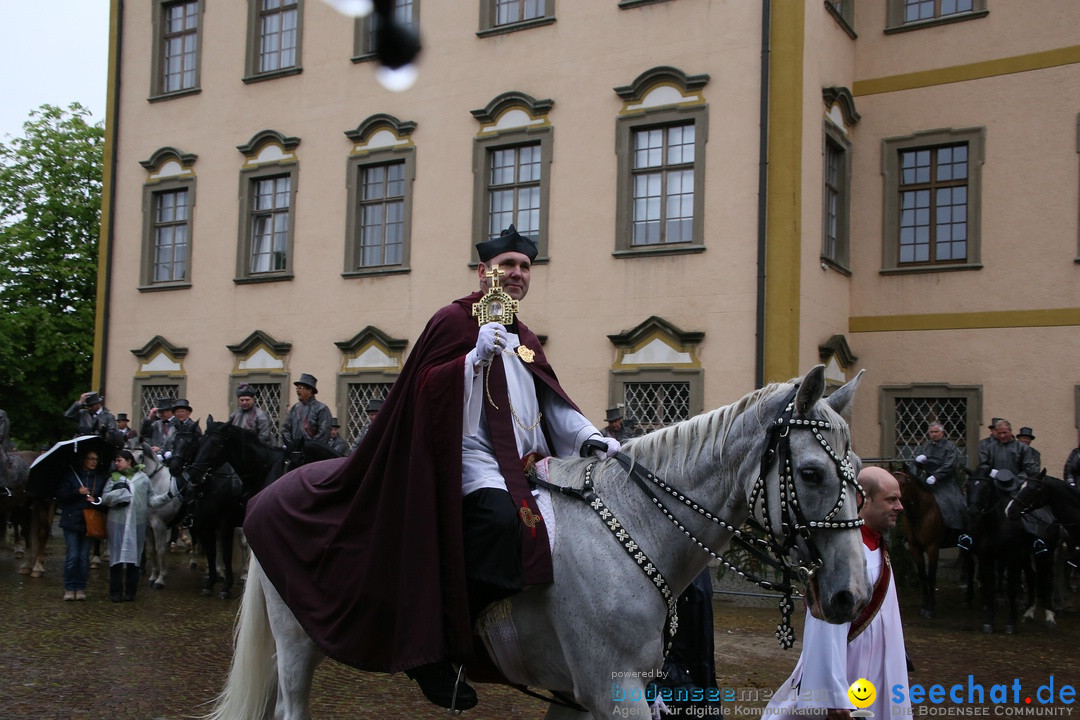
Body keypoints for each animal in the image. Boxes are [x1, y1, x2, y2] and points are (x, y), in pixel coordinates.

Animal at [200, 367, 868, 720]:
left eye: (859, 471)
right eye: (812, 473)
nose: (850, 596)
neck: (632, 529)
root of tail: (269, 492)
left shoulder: (580, 695)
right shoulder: (616, 692)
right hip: (295, 645)